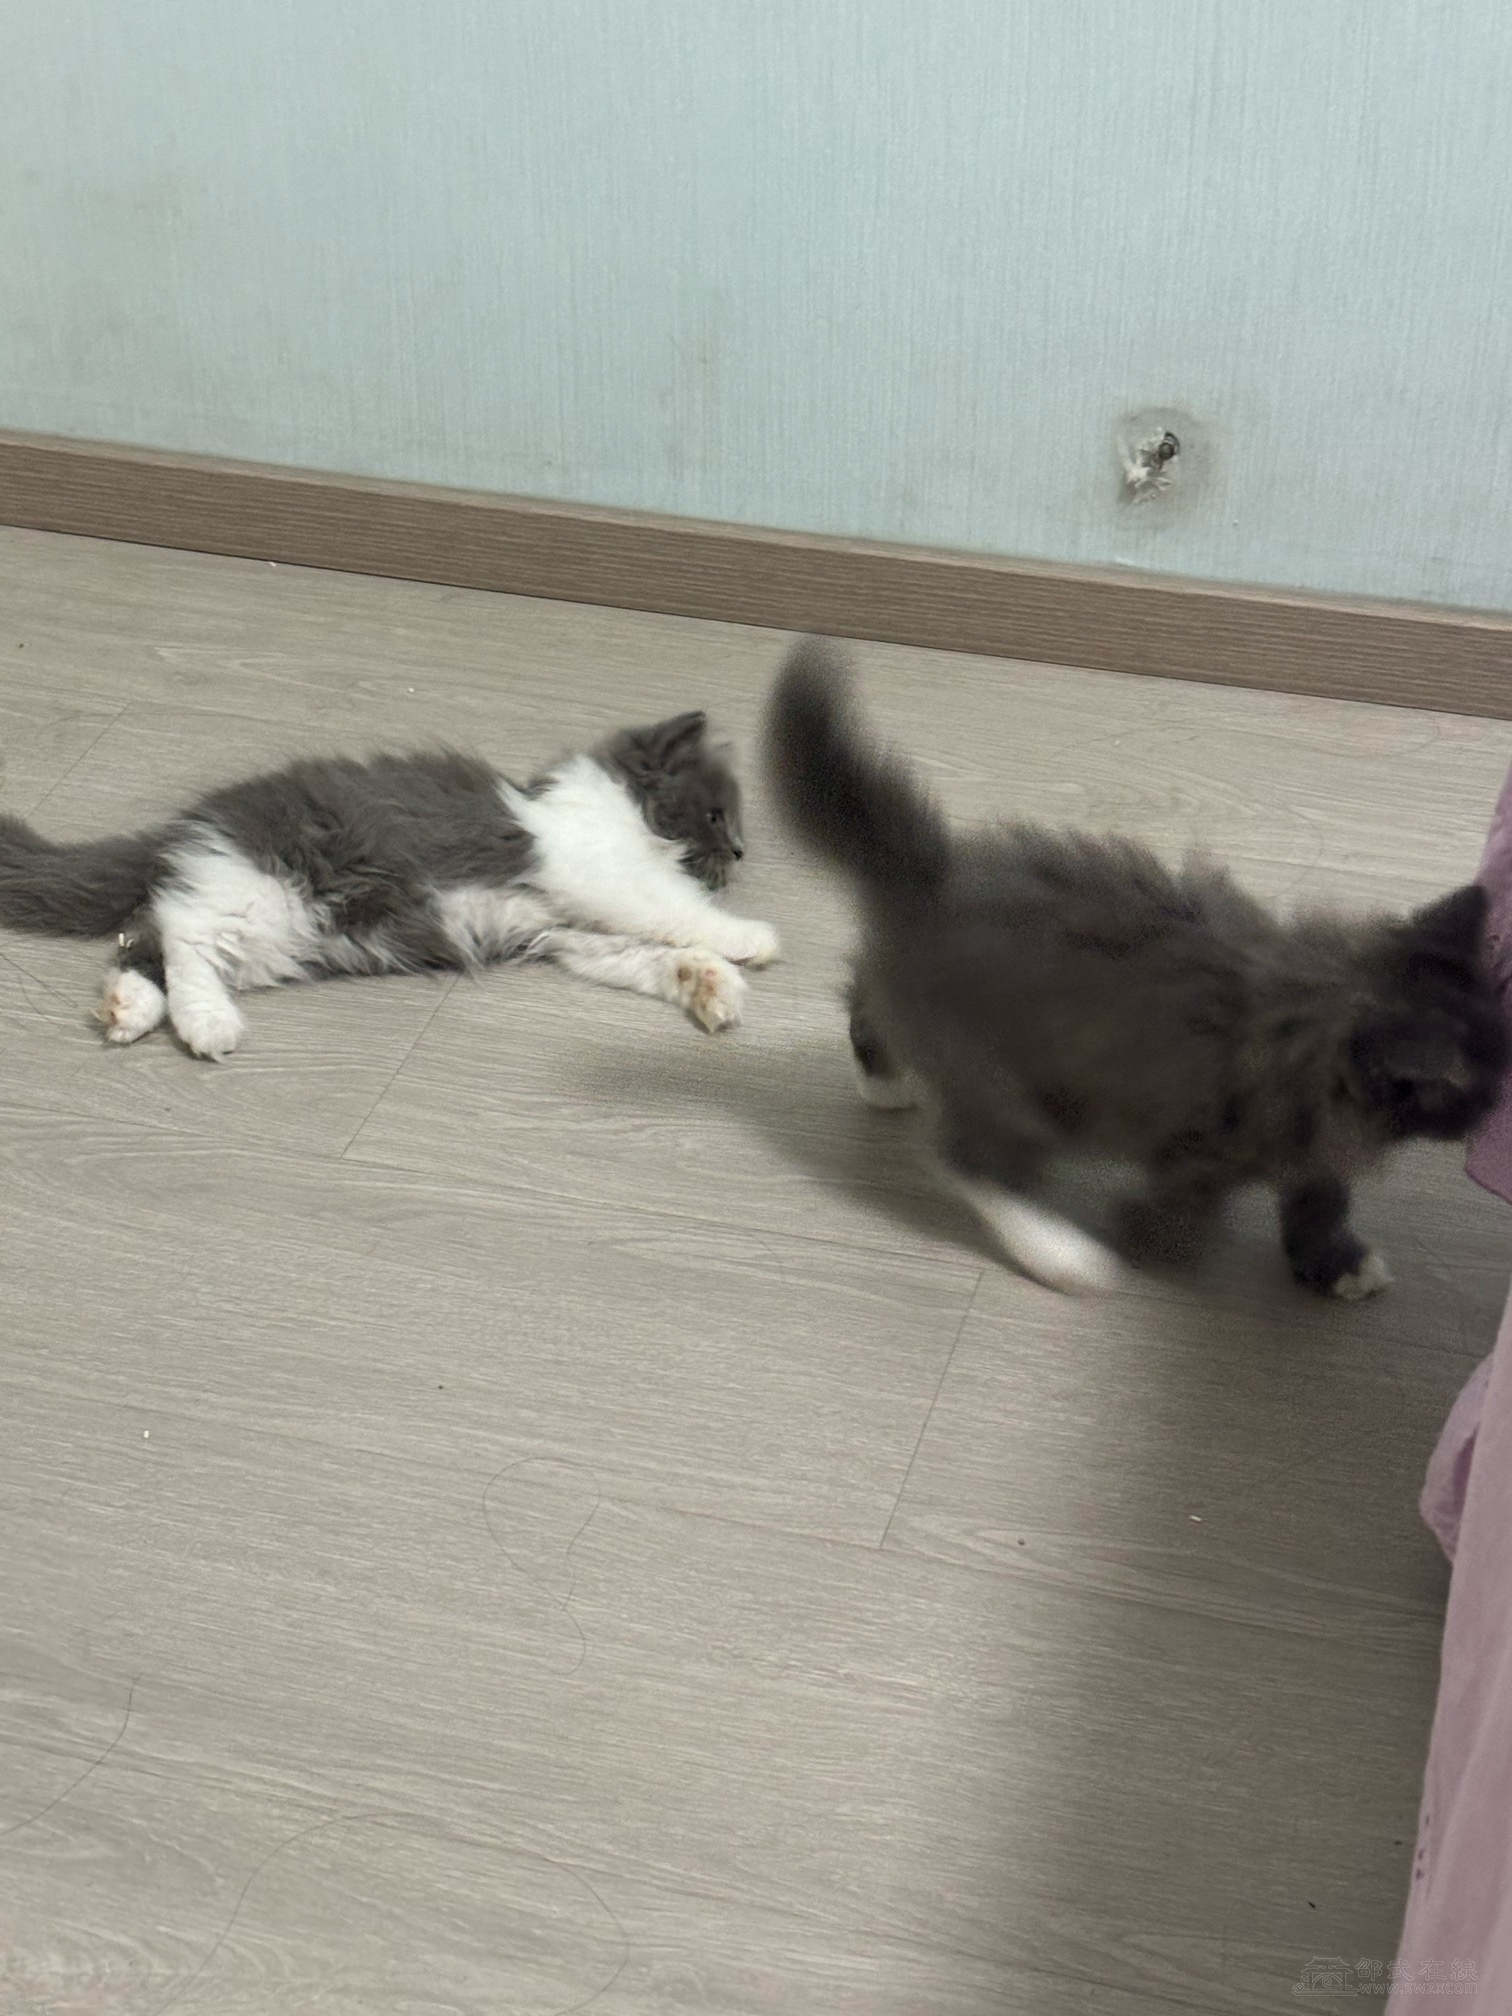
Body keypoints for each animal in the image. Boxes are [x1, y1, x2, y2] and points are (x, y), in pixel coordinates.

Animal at [0, 709, 779, 1059]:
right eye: (716, 814)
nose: (742, 850)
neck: (609, 807)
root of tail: (190, 822)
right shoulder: (602, 877)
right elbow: (676, 910)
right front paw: (750, 938)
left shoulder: (568, 932)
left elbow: (647, 956)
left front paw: (709, 983)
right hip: (267, 896)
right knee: (184, 936)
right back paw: (207, 1024)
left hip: (274, 933)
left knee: (148, 934)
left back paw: (128, 1009)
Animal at [766, 638, 1506, 1298]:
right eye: (1477, 1091)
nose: (1493, 1114)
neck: (1323, 997)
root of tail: (932, 873)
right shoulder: (1207, 1143)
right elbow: (1184, 1204)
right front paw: (1155, 1250)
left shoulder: (1313, 1142)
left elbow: (1318, 1197)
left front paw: (1336, 1263)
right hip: (1011, 1083)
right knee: (972, 1162)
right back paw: (1062, 1254)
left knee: (867, 999)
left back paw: (886, 1080)